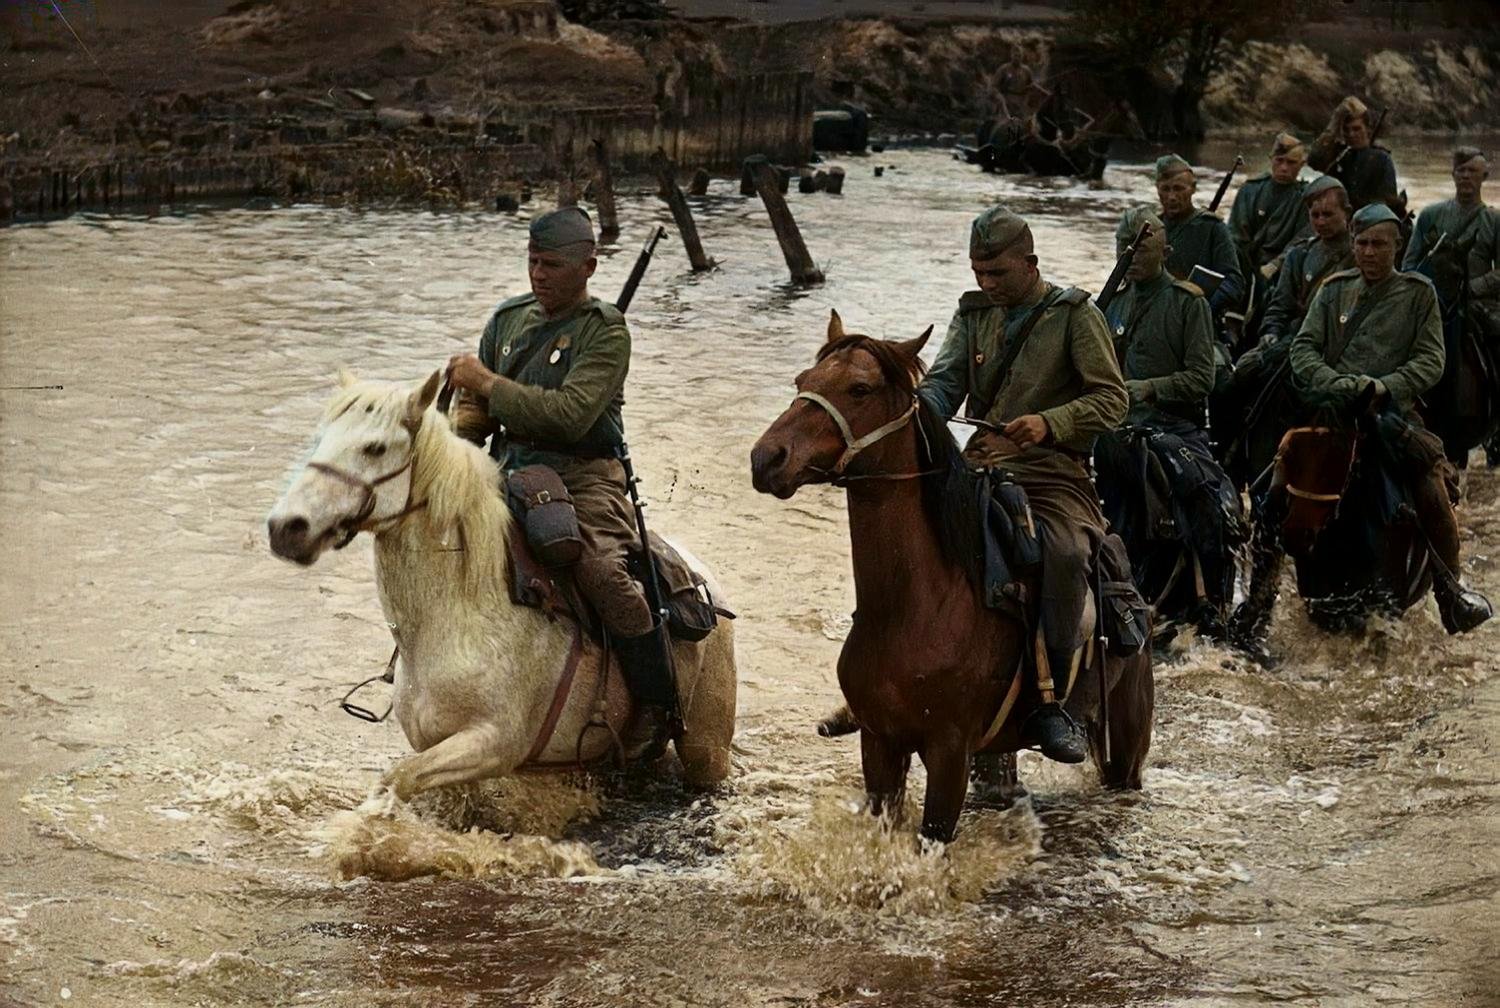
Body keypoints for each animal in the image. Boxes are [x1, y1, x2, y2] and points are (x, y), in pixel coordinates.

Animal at [271, 372, 744, 804]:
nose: (285, 528)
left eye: (376, 448)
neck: (461, 612)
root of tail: (707, 584)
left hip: (706, 749)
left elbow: (397, 779)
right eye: (320, 440)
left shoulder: (491, 744)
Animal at [750, 313, 1158, 840]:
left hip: (1125, 741)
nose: (767, 459)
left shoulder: (949, 753)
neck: (919, 607)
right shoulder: (879, 743)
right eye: (803, 382)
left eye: (860, 388)